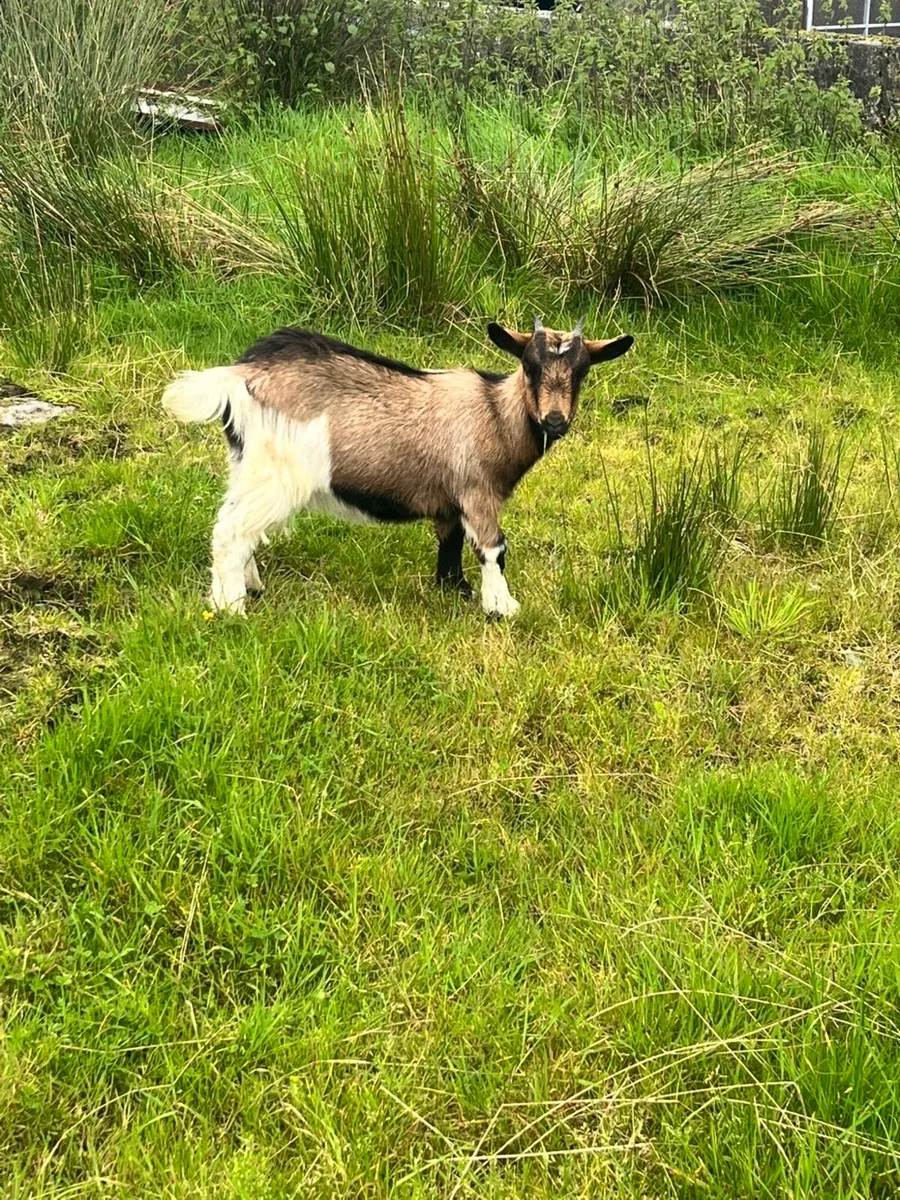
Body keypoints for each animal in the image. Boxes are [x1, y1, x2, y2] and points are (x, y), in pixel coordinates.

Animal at [162, 318, 634, 617]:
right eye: (530, 367)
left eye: (582, 372)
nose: (555, 420)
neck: (495, 413)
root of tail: (239, 374)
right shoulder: (477, 489)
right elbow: (493, 547)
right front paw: (501, 607)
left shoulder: (450, 500)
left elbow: (450, 542)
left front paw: (454, 590)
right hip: (277, 472)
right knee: (231, 531)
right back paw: (231, 608)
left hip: (247, 464)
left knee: (236, 523)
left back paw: (249, 586)